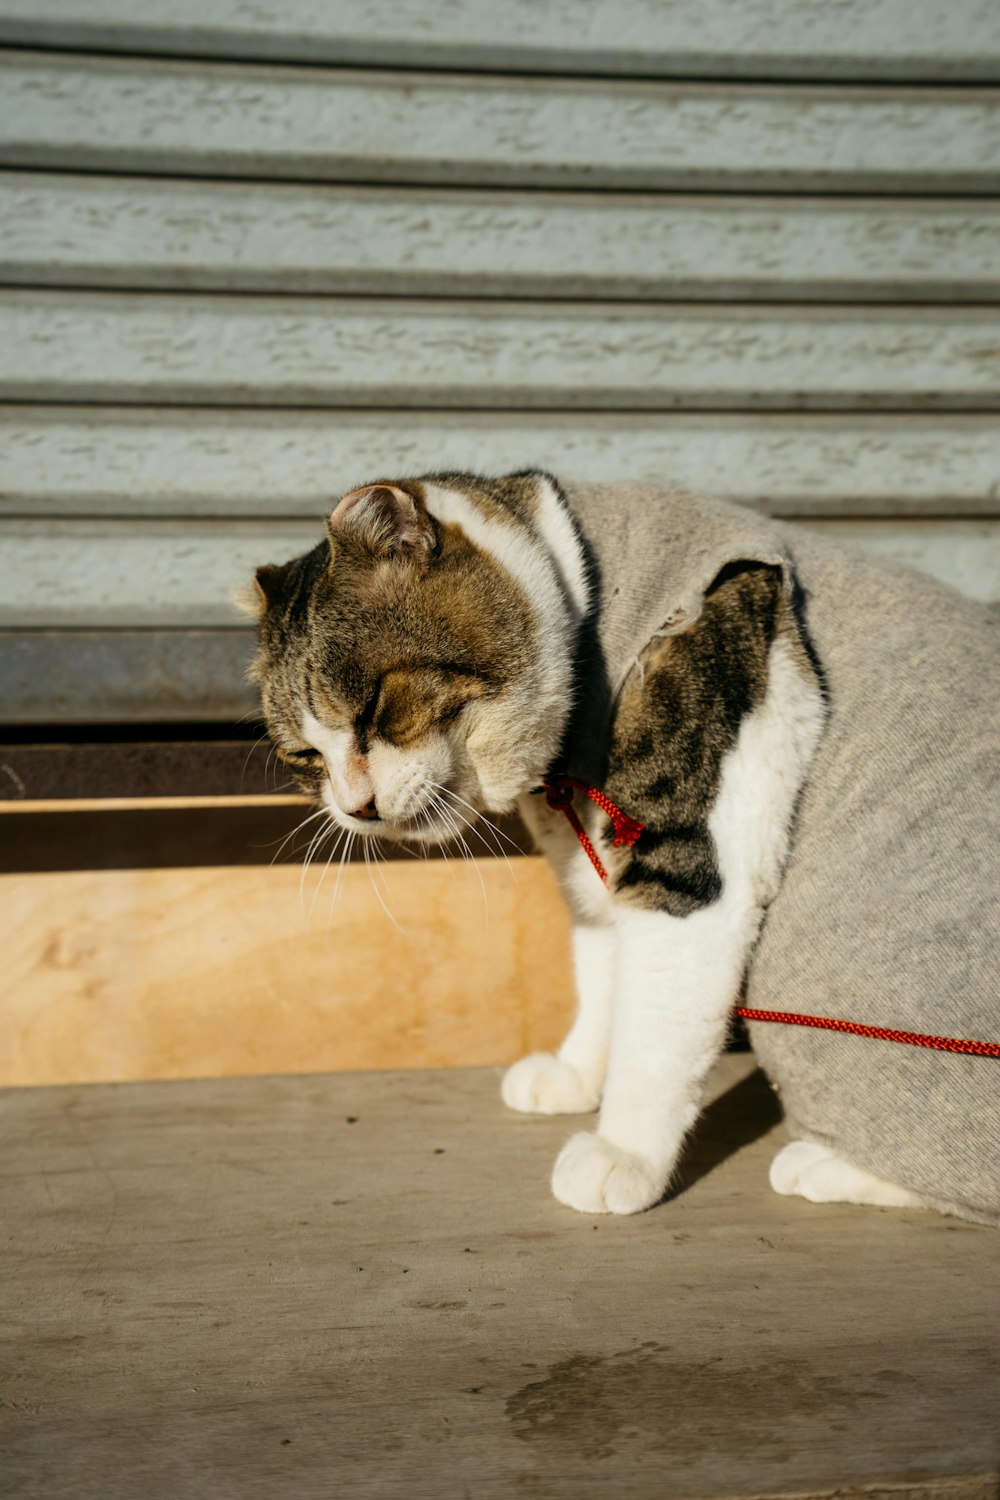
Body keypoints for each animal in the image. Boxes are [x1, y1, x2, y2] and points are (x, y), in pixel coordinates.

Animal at [238, 471, 1000, 1230]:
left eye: (373, 708)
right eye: (306, 756)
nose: (356, 806)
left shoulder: (689, 855)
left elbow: (656, 1024)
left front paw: (624, 1154)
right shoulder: (592, 854)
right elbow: (606, 973)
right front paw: (579, 1074)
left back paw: (823, 1164)